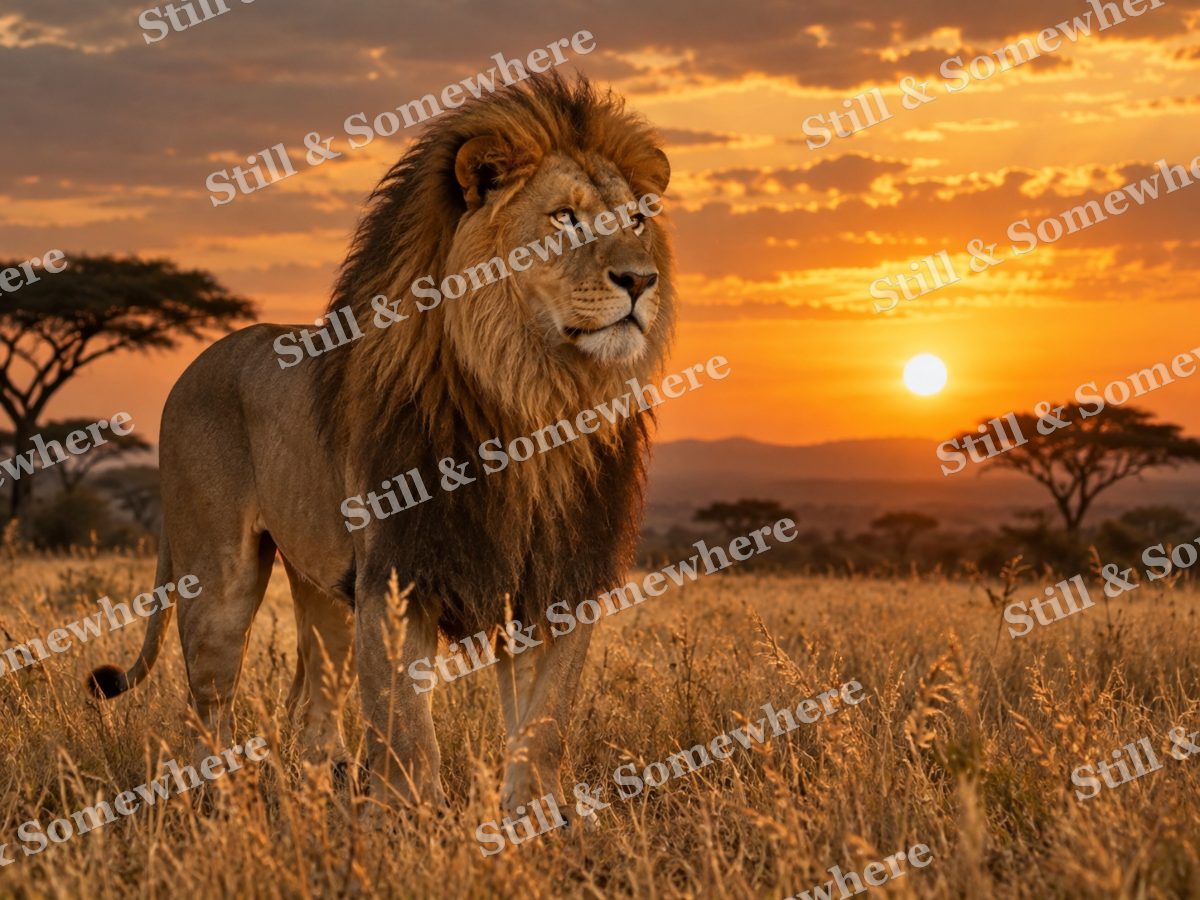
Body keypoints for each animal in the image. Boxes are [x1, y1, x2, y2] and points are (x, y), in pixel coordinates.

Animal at [88, 72, 674, 816]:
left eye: (637, 222)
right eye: (565, 218)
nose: (641, 280)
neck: (534, 395)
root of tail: (199, 360)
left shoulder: (558, 579)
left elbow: (543, 724)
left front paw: (534, 818)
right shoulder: (397, 574)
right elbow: (406, 727)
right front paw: (409, 818)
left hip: (324, 590)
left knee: (312, 702)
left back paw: (322, 792)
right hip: (219, 579)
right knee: (207, 706)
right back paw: (220, 811)